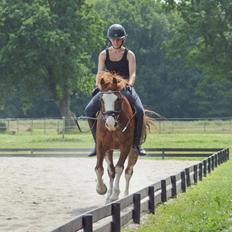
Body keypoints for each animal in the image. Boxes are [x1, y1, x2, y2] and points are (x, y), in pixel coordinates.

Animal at [94, 71, 151, 203]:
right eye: (101, 100)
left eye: (118, 99)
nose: (110, 124)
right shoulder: (101, 146)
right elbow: (99, 168)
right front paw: (102, 189)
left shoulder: (125, 147)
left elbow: (119, 167)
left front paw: (115, 194)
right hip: (109, 151)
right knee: (111, 171)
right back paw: (108, 196)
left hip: (133, 151)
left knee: (128, 171)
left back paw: (125, 195)